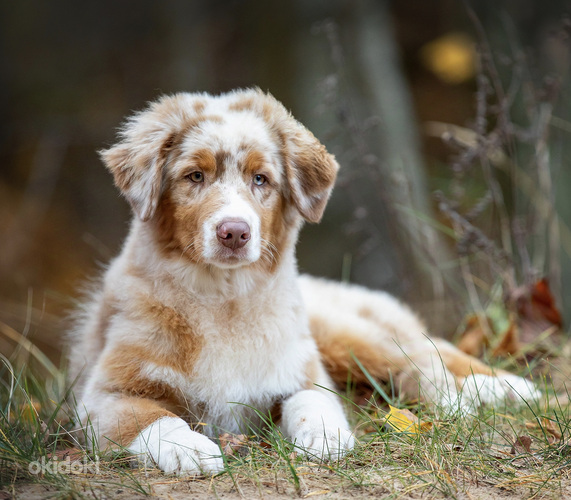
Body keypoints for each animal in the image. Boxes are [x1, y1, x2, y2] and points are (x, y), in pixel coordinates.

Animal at [68, 89, 540, 476]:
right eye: (194, 176)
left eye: (261, 179)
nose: (234, 232)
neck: (224, 299)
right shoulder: (103, 393)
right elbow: (151, 417)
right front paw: (188, 448)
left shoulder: (301, 369)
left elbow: (314, 401)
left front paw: (325, 437)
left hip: (344, 336)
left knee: (424, 358)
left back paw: (497, 391)